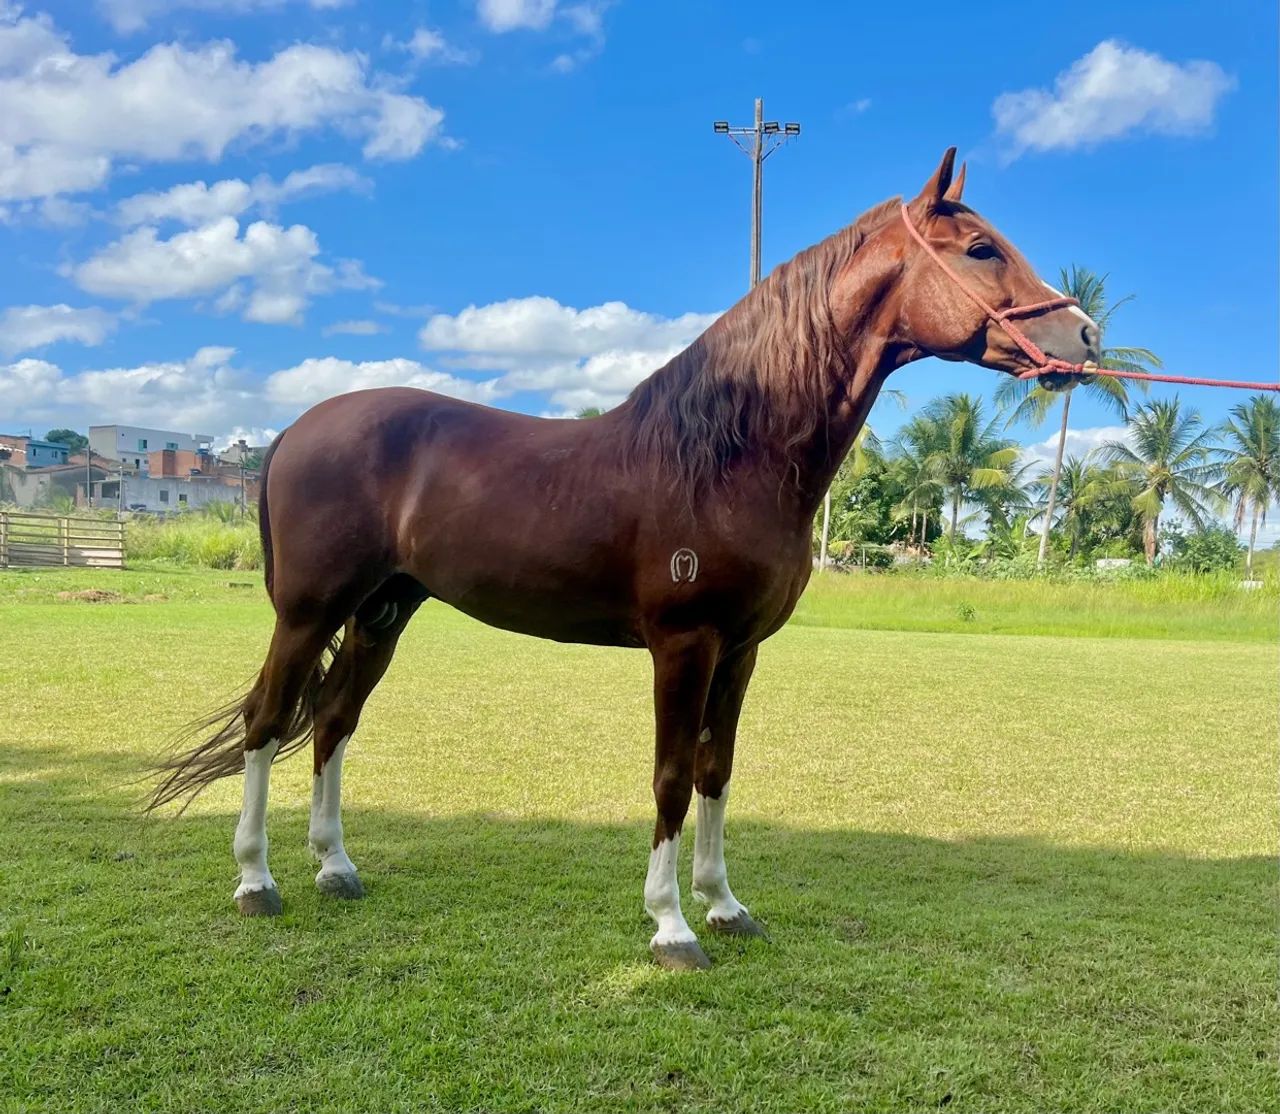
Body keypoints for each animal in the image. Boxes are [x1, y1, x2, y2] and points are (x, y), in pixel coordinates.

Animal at [149, 149, 1100, 971]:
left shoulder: (740, 651)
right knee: (268, 721)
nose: (1085, 336)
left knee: (334, 722)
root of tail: (294, 431)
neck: (729, 453)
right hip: (308, 612)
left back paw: (336, 869)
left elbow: (717, 772)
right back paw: (257, 881)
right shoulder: (685, 644)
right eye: (981, 249)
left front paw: (725, 906)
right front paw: (672, 928)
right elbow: (672, 779)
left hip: (383, 611)